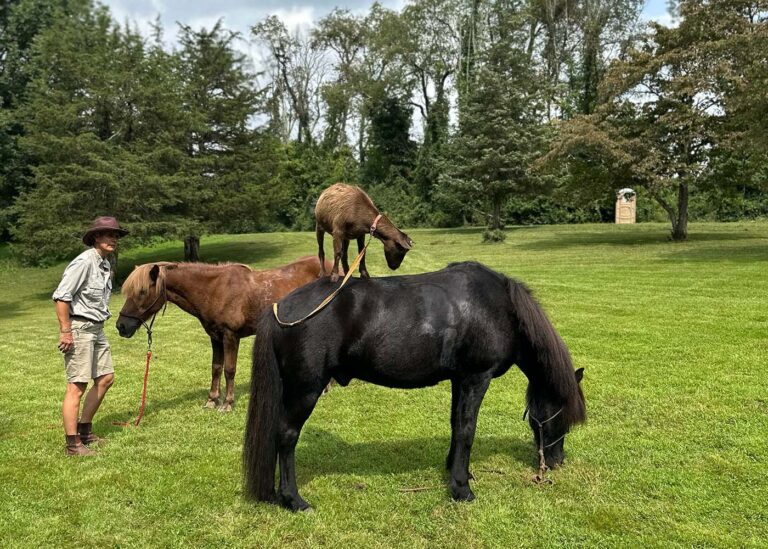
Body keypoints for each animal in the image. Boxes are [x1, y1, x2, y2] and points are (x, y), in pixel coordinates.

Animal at [115, 256, 328, 412]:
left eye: (142, 291)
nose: (121, 326)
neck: (215, 290)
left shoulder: (230, 336)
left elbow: (229, 370)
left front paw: (227, 403)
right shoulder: (215, 337)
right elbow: (216, 368)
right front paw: (212, 400)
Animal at [243, 262, 584, 510]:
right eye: (562, 416)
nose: (556, 461)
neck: (498, 306)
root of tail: (280, 308)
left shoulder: (459, 380)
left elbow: (456, 425)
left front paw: (456, 472)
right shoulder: (476, 377)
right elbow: (467, 429)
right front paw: (462, 489)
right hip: (305, 391)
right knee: (286, 437)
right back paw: (294, 500)